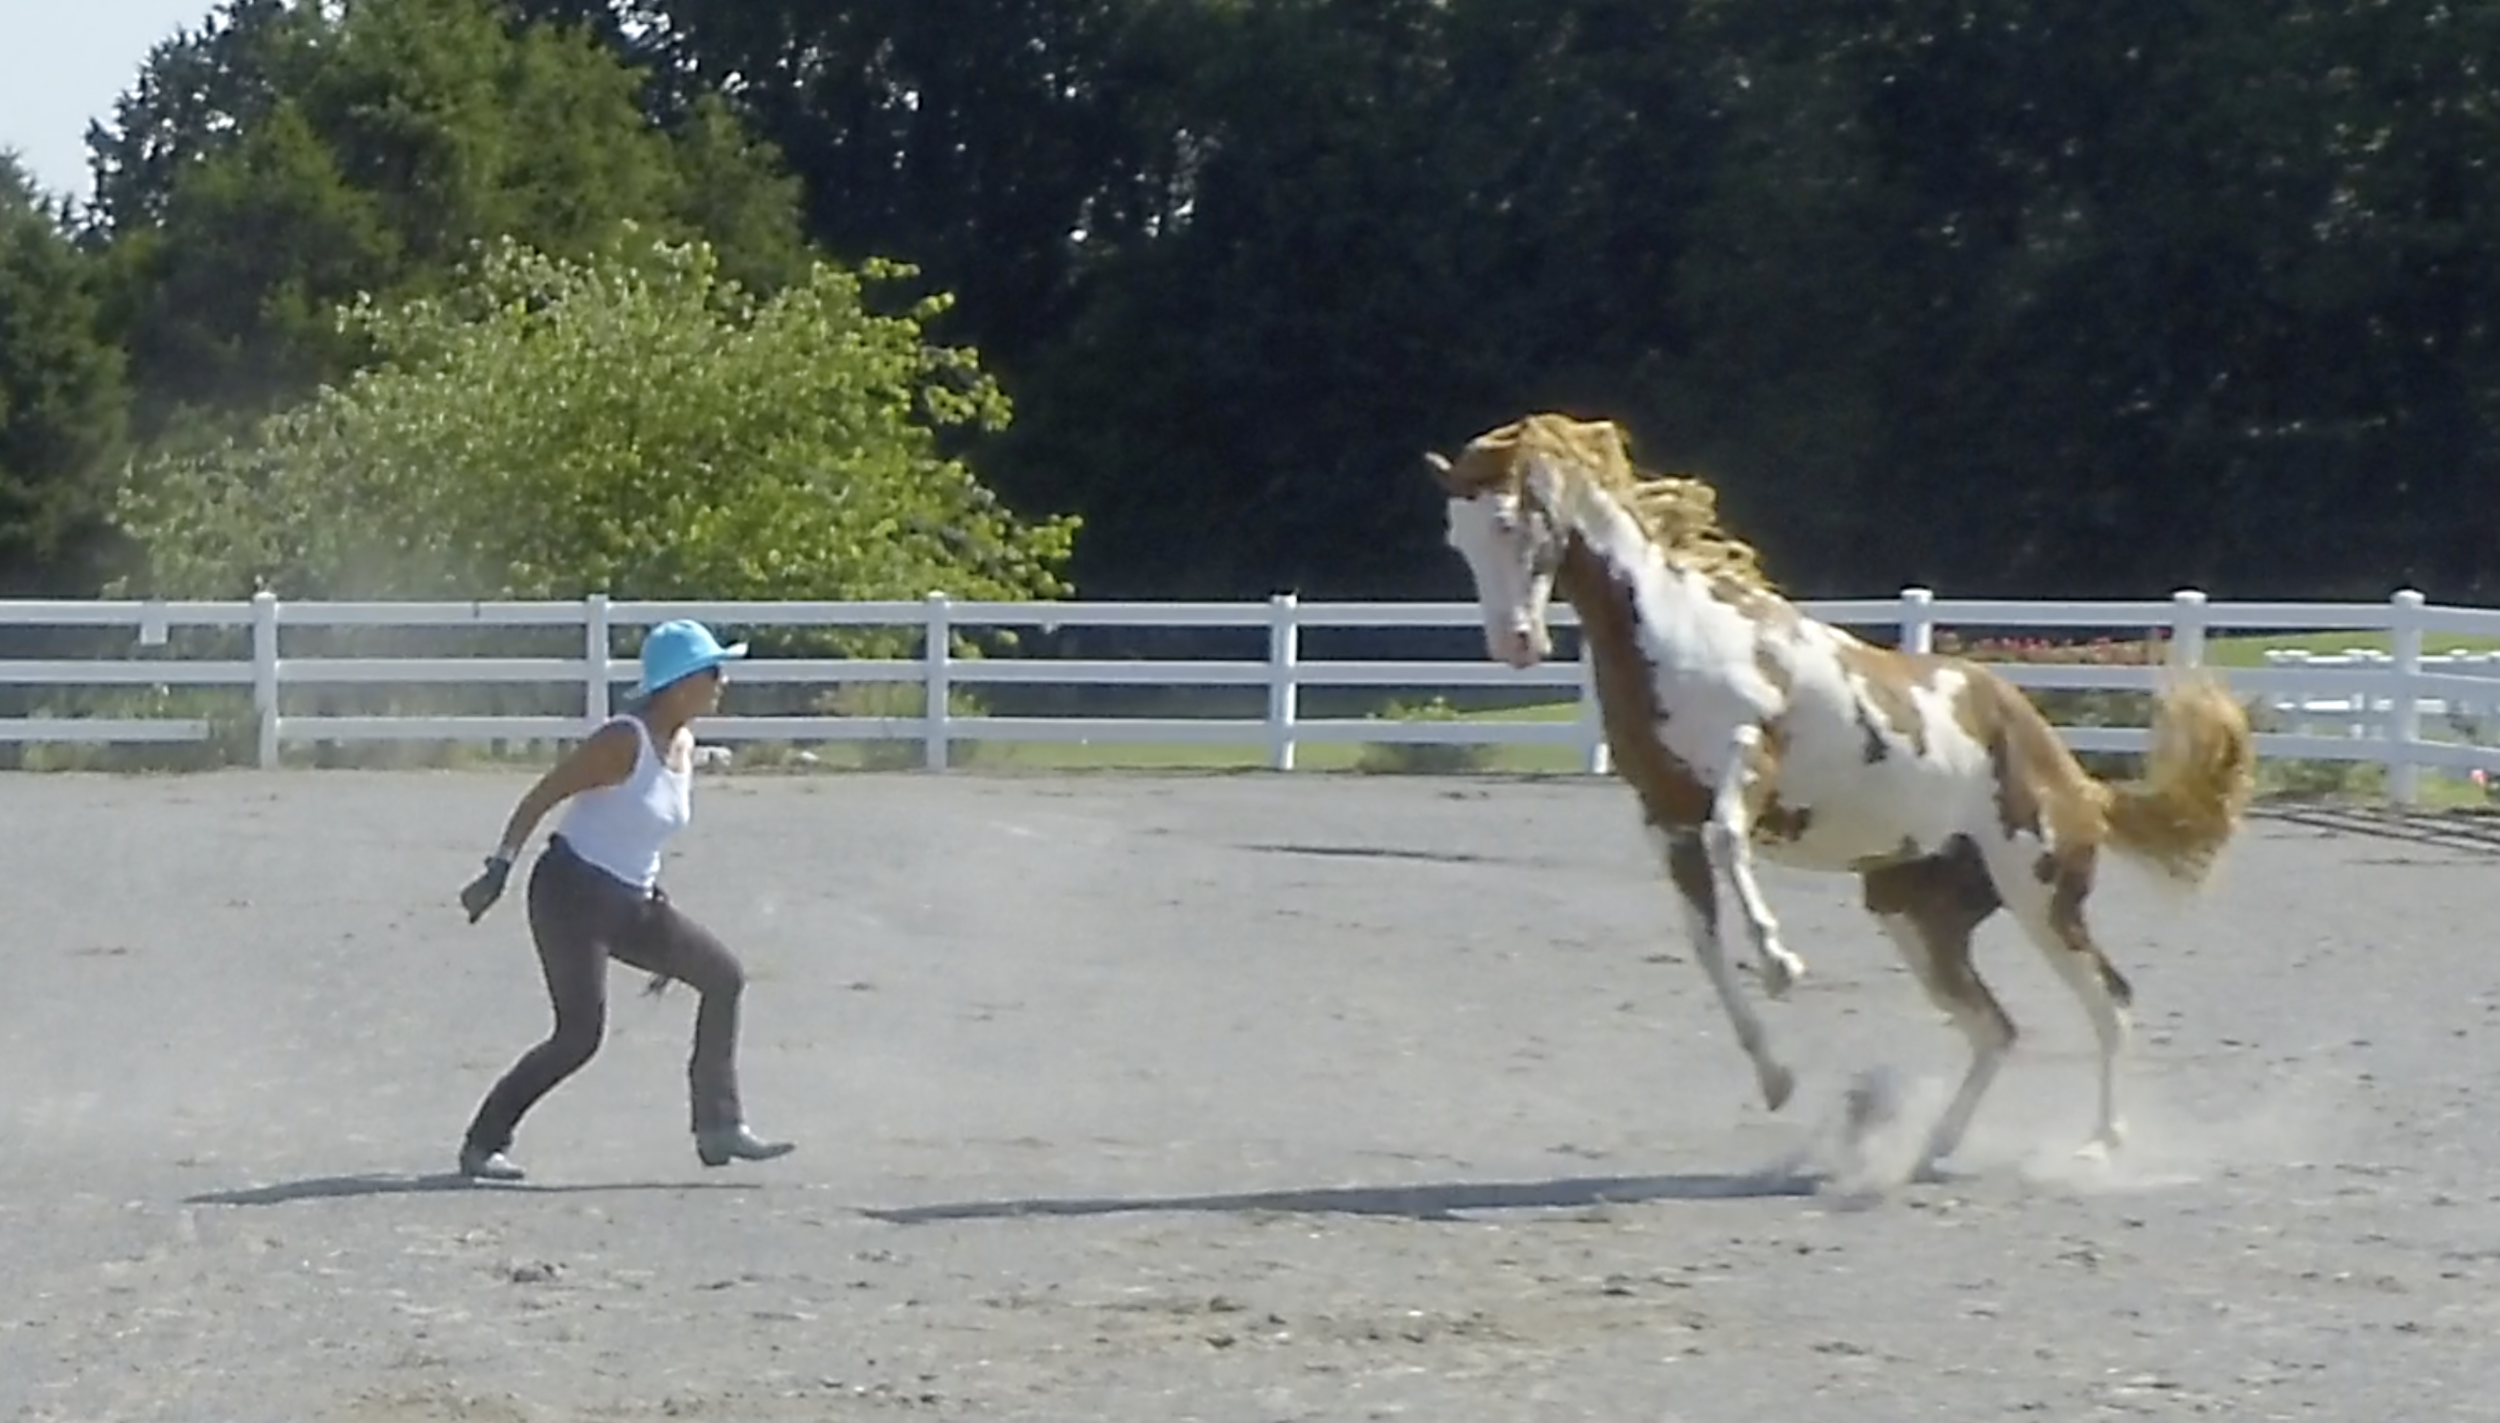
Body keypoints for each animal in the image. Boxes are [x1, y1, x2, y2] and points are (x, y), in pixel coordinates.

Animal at [1422, 412, 2256, 1176]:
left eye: (1510, 519)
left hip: (2042, 896)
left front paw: (1780, 962)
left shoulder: (1749, 758)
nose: (1515, 644)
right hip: (1917, 915)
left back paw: (2098, 1145)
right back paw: (1931, 1148)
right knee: (1995, 1027)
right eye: (1456, 539)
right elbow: (1704, 945)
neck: (1675, 636)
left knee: (2109, 1000)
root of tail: (2075, 776)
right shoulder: (1666, 820)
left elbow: (1731, 841)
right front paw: (1777, 1078)